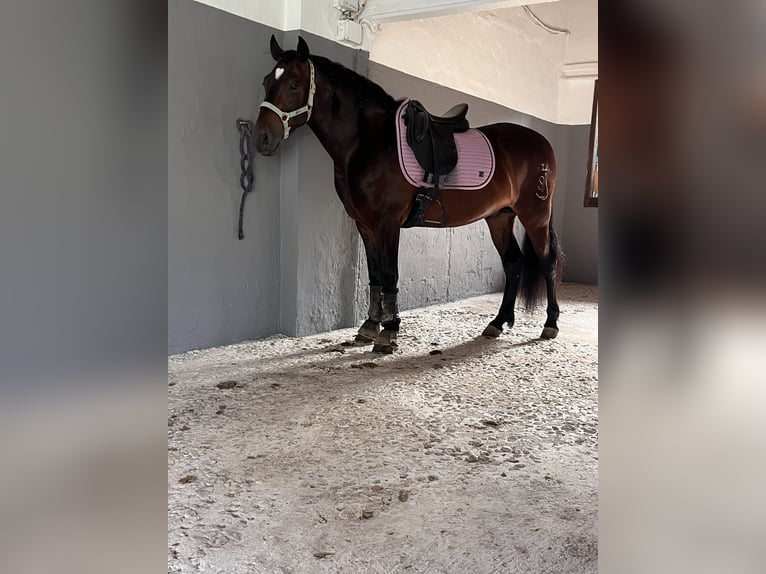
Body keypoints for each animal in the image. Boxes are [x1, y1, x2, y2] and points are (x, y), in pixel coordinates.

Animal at [254, 36, 562, 354]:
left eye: (293, 84)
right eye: (266, 81)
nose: (261, 137)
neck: (370, 144)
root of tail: (542, 144)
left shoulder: (388, 223)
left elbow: (390, 275)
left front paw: (389, 332)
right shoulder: (364, 225)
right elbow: (375, 275)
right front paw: (369, 327)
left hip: (535, 216)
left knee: (548, 261)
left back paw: (550, 324)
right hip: (499, 217)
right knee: (513, 264)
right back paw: (497, 323)